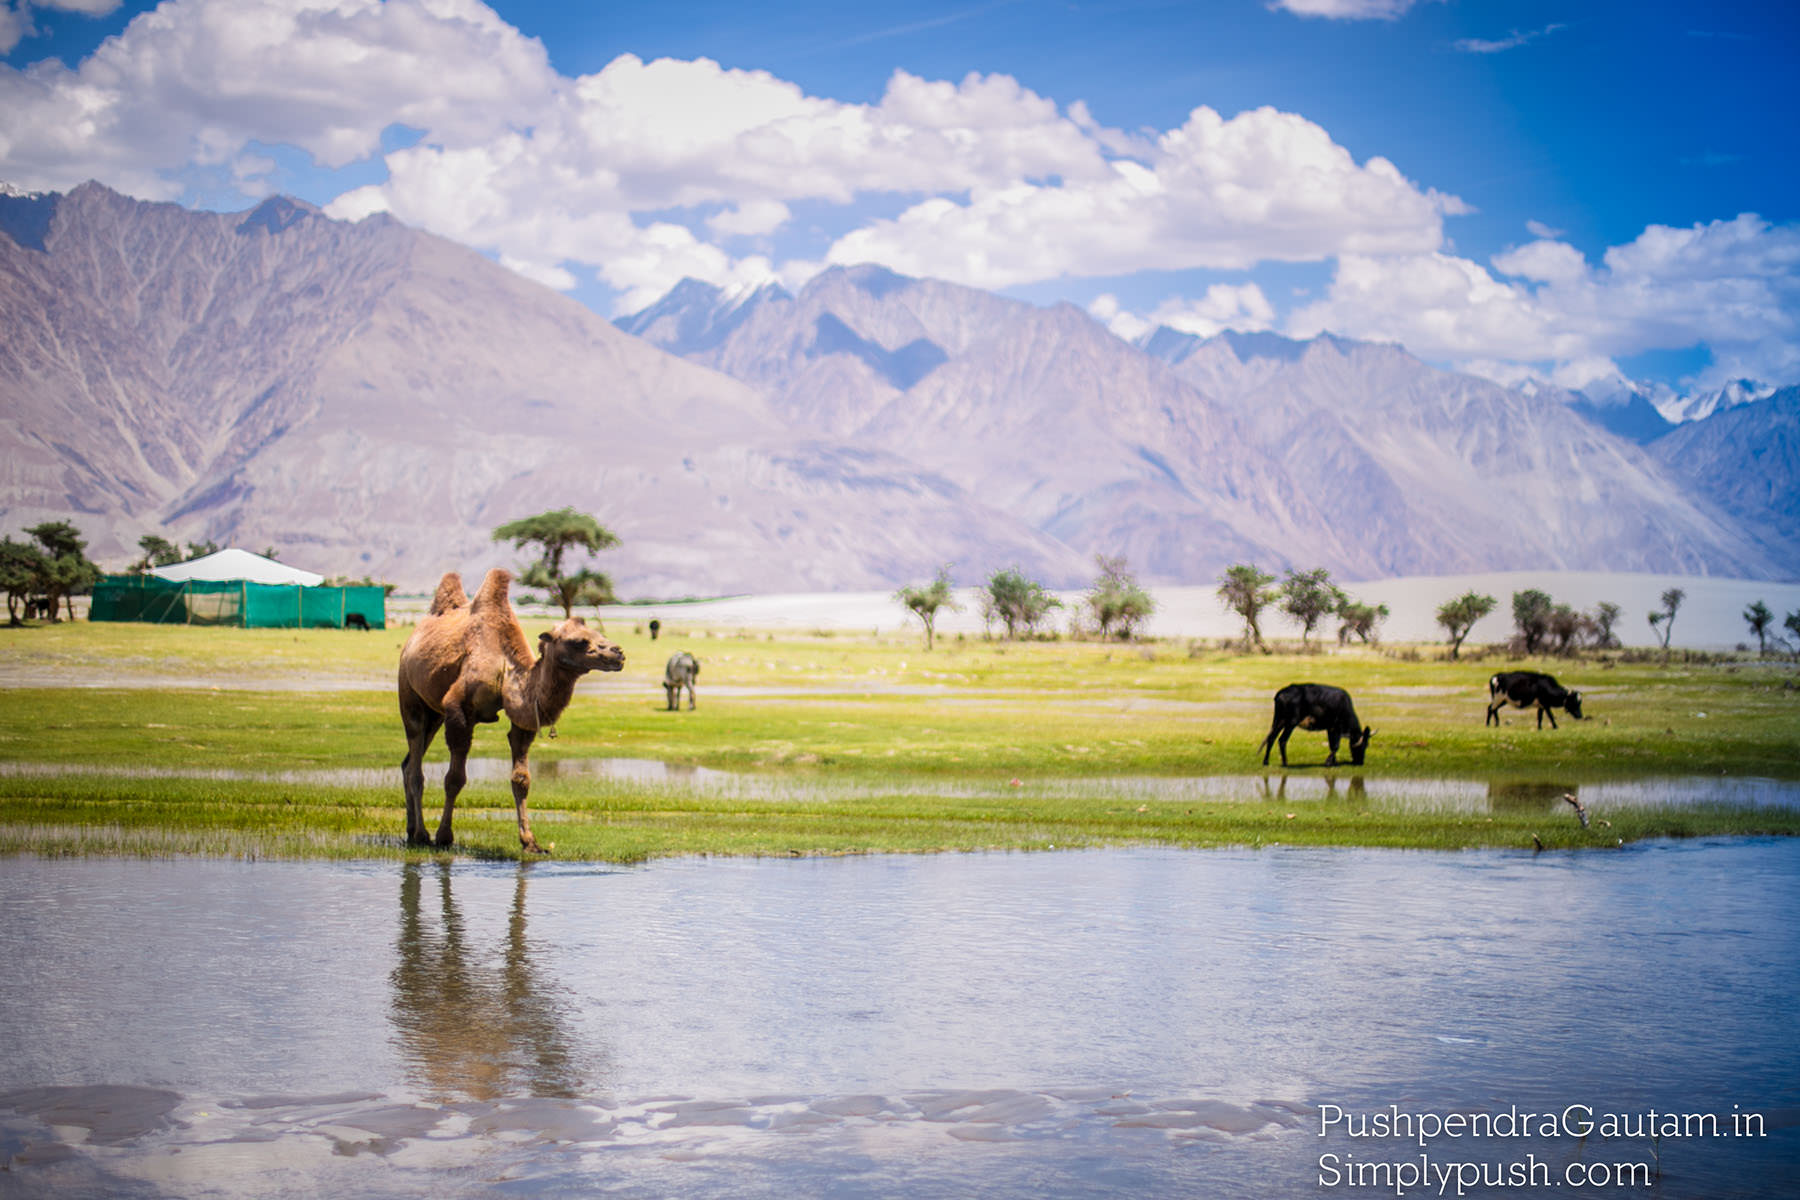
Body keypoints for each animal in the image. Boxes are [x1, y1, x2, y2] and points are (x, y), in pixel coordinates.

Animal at [397, 572, 622, 852]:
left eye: (597, 632)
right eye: (579, 642)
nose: (619, 653)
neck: (505, 670)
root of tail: (411, 639)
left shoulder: (522, 721)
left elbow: (521, 779)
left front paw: (530, 841)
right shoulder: (458, 709)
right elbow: (455, 778)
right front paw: (444, 836)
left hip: (434, 713)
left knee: (407, 763)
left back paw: (410, 830)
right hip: (410, 694)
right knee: (415, 766)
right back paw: (421, 834)